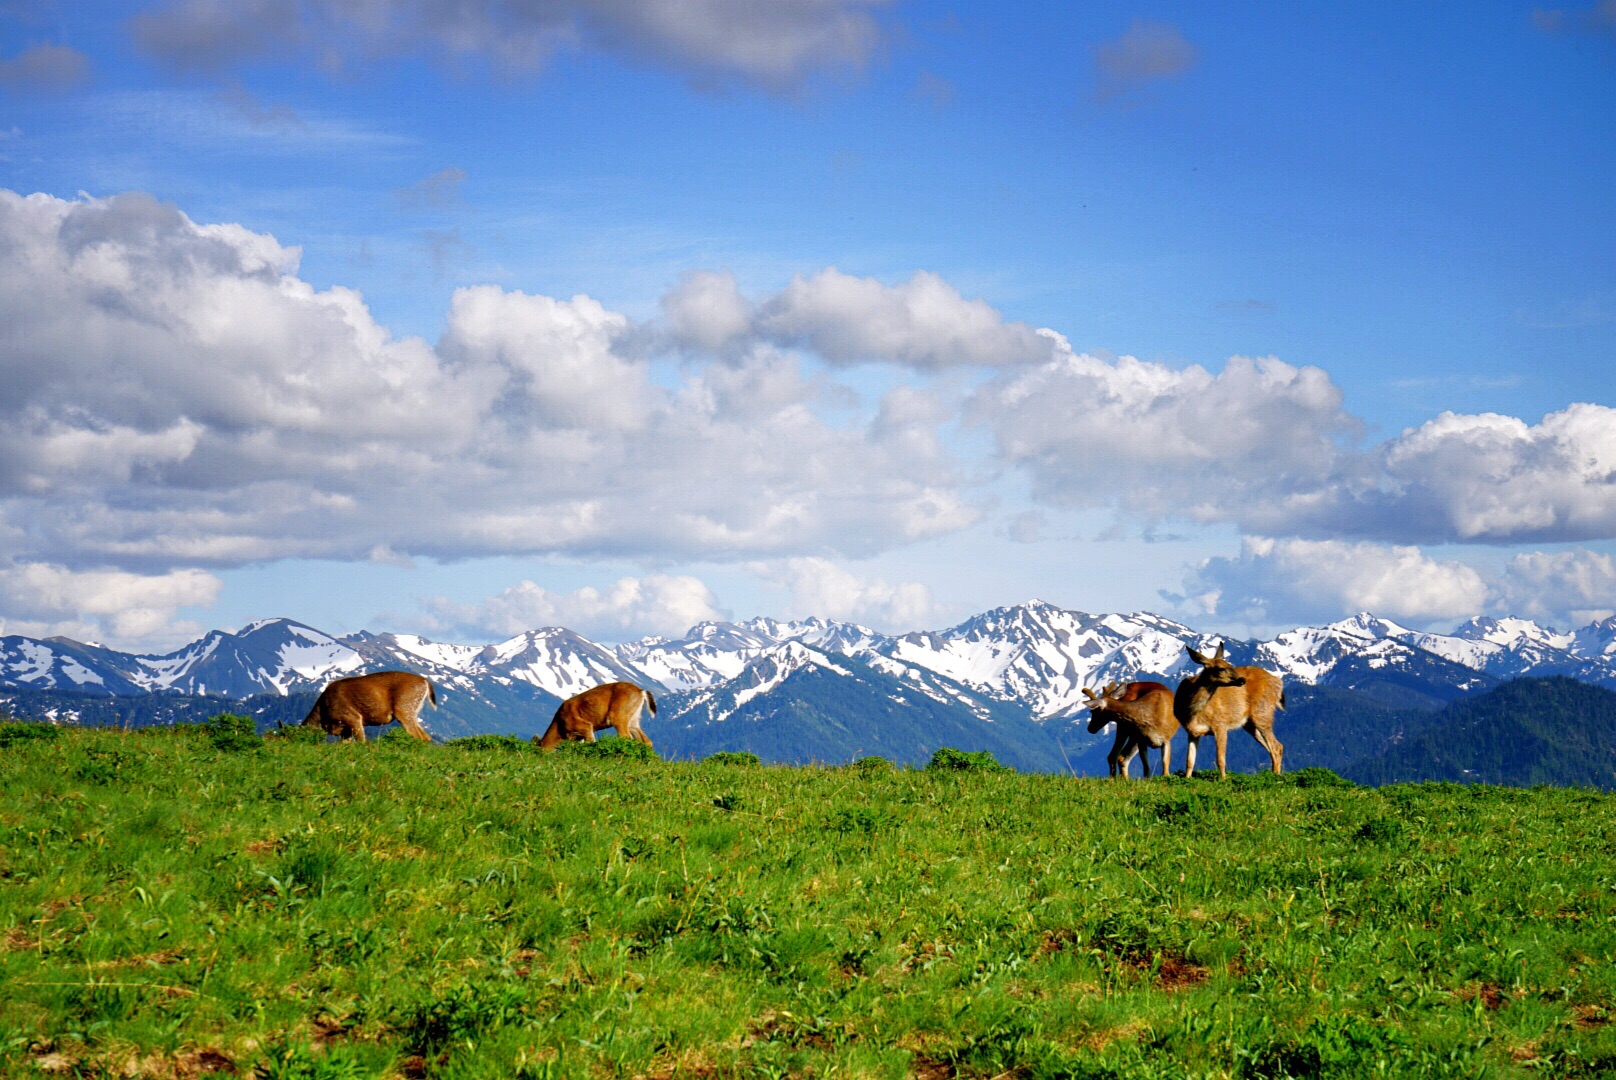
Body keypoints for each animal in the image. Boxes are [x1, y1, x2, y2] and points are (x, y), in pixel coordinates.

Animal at [302, 666, 436, 743]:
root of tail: (425, 682)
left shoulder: (352, 716)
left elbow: (361, 741)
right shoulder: (345, 728)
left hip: (404, 707)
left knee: (418, 736)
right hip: (412, 710)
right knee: (426, 737)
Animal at [1176, 640, 1286, 776]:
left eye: (1230, 664)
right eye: (1221, 668)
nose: (1242, 679)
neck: (1191, 711)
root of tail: (1278, 683)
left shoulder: (1220, 723)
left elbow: (1220, 759)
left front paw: (1223, 779)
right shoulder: (1192, 731)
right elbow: (1189, 761)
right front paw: (1187, 778)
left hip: (1262, 711)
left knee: (1276, 746)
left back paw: (1275, 775)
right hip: (1249, 723)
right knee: (1272, 747)